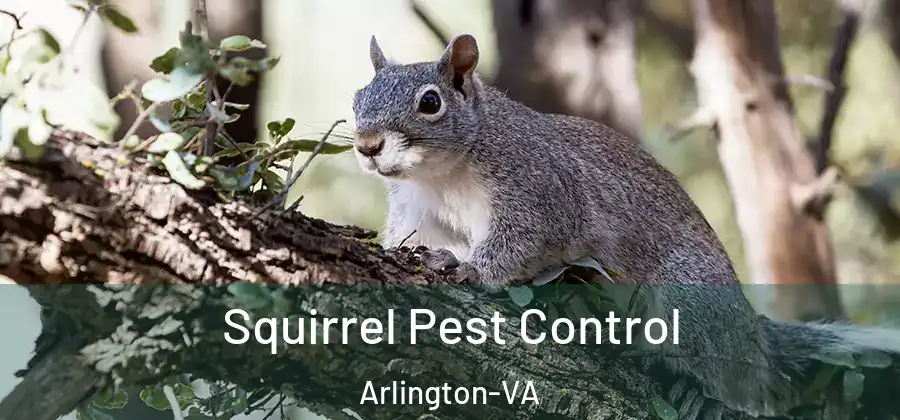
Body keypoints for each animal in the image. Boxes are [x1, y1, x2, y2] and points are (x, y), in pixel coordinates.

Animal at [351, 34, 900, 418]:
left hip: (690, 300)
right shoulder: (418, 211)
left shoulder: (542, 192)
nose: (367, 145)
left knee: (739, 382)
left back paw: (698, 390)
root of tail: (751, 334)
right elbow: (411, 238)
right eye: (358, 97)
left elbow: (522, 242)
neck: (442, 174)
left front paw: (471, 269)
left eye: (430, 102)